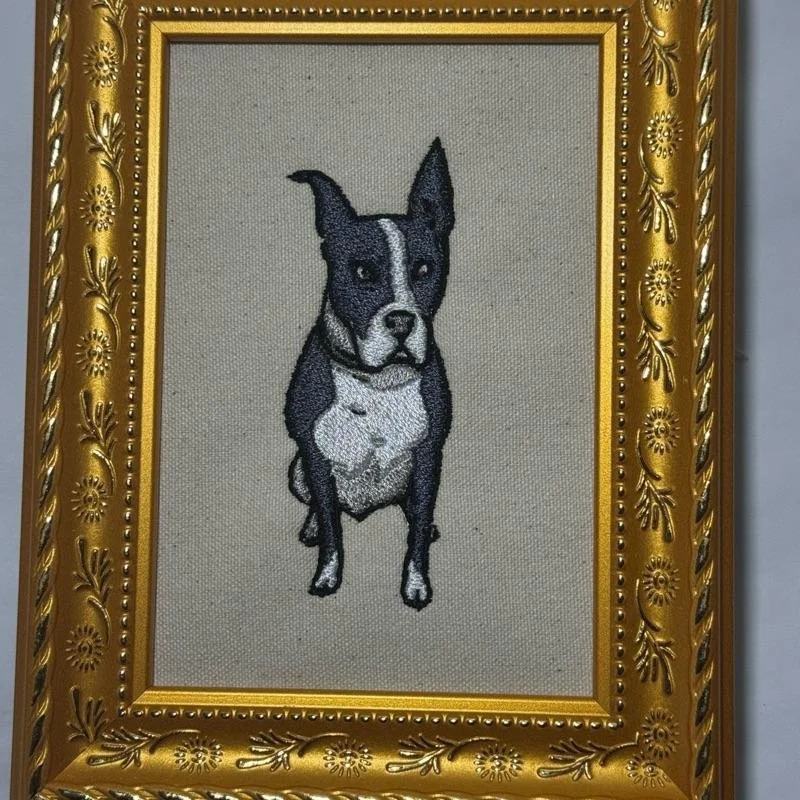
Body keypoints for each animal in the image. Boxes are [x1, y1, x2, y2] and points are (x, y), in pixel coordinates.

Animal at [284, 138, 454, 610]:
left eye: (424, 269)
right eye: (362, 271)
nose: (401, 320)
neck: (377, 380)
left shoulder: (429, 458)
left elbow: (416, 534)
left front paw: (416, 585)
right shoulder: (316, 461)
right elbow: (331, 528)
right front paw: (326, 575)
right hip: (297, 471)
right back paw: (309, 526)